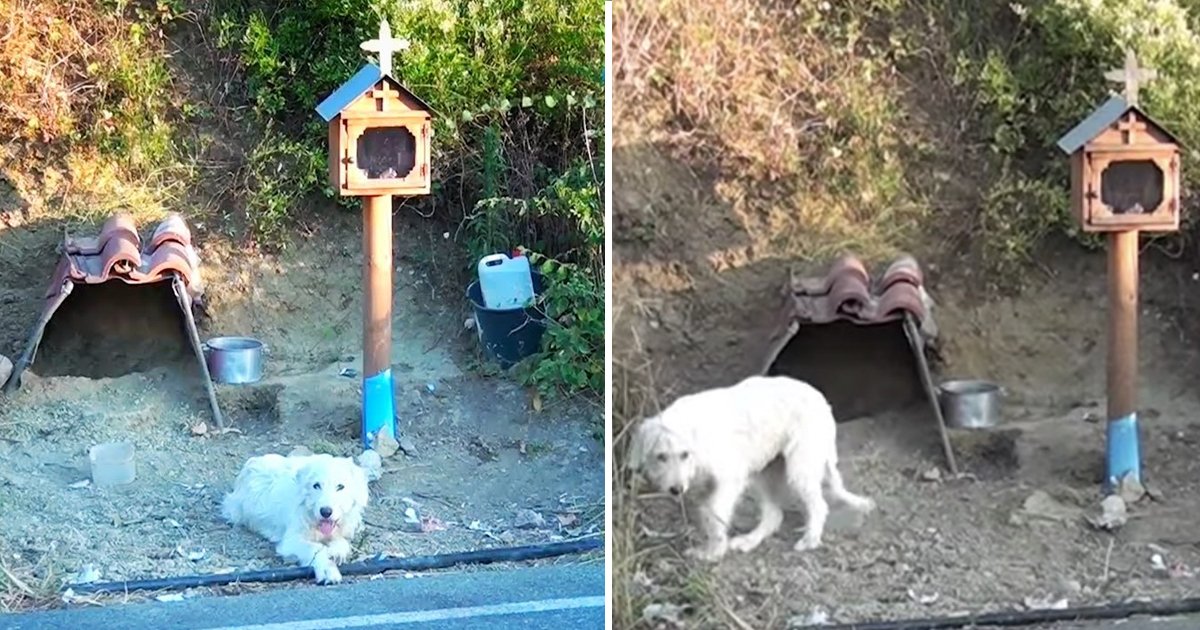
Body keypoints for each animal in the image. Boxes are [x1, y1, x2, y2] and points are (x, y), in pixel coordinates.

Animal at [222, 451, 367, 585]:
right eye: (316, 485)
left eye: (340, 486)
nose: (325, 512)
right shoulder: (290, 541)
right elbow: (316, 548)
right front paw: (327, 570)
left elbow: (342, 544)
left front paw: (335, 551)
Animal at [628, 374, 873, 559]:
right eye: (661, 457)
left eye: (685, 455)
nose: (676, 490)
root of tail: (822, 401)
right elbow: (708, 513)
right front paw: (712, 546)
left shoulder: (730, 478)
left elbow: (713, 512)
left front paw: (713, 552)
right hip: (762, 474)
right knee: (774, 514)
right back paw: (749, 540)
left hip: (800, 466)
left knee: (819, 505)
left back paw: (810, 539)